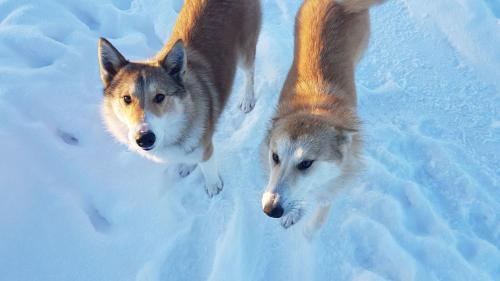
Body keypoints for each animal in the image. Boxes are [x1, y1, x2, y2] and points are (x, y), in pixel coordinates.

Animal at [98, 0, 262, 197]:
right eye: (126, 98)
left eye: (160, 96)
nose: (145, 138)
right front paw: (186, 165)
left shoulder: (206, 146)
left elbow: (207, 166)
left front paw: (213, 186)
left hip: (246, 49)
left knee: (249, 73)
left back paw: (247, 99)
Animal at [260, 0, 384, 232]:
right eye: (275, 157)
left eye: (306, 163)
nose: (270, 210)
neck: (315, 108)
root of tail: (335, 2)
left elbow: (321, 208)